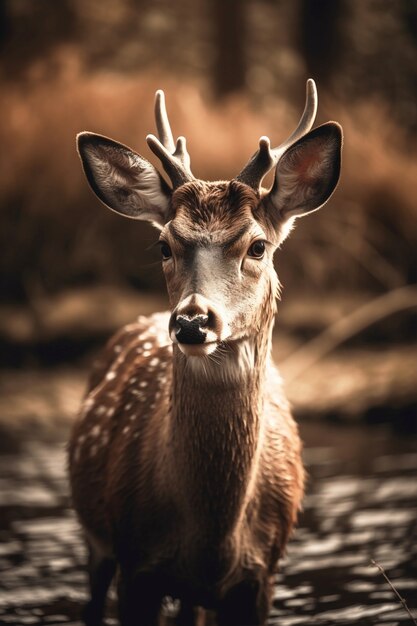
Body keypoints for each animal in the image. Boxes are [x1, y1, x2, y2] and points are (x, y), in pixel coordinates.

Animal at [68, 79, 342, 624]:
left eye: (257, 246)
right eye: (164, 246)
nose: (193, 321)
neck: (212, 539)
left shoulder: (261, 577)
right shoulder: (136, 565)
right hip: (97, 543)